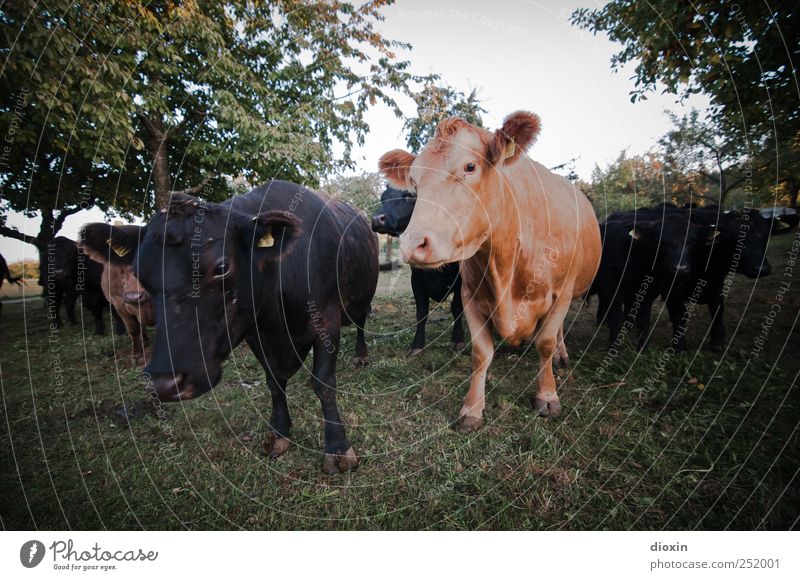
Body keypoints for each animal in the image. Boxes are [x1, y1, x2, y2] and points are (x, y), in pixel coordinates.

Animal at [103, 182, 378, 476]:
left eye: (222, 267)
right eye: (139, 273)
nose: (163, 383)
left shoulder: (327, 320)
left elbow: (324, 384)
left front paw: (337, 448)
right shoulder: (254, 333)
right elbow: (273, 382)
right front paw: (279, 433)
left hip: (361, 301)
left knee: (361, 325)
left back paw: (362, 355)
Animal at [372, 188, 466, 356]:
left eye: (409, 196)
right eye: (383, 198)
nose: (377, 219)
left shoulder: (461, 279)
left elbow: (457, 308)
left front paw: (458, 340)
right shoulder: (416, 280)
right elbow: (421, 313)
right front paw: (417, 345)